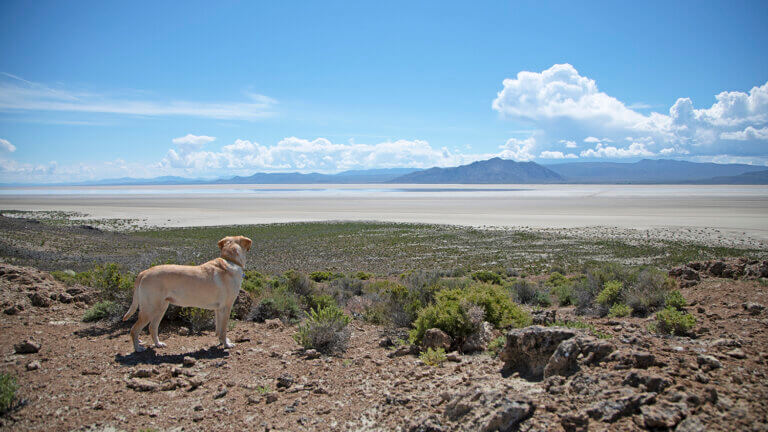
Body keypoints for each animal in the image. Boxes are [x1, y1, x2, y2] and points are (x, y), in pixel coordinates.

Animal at [121, 236, 252, 352]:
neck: (230, 260)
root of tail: (143, 272)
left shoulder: (218, 309)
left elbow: (218, 329)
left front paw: (221, 342)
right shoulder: (226, 307)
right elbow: (224, 329)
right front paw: (226, 344)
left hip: (161, 308)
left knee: (152, 327)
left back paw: (158, 344)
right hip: (150, 309)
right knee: (134, 329)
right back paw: (138, 348)